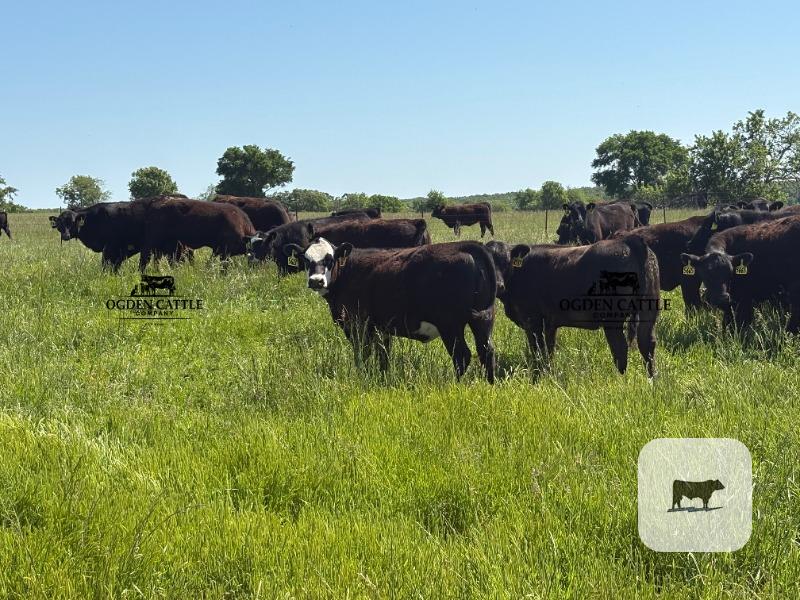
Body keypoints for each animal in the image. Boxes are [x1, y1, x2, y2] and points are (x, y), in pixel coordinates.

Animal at [283, 238, 497, 382]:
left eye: (330, 259)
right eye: (306, 260)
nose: (316, 281)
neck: (348, 272)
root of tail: (465, 245)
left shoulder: (357, 326)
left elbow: (362, 354)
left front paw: (362, 376)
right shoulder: (381, 328)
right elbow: (383, 355)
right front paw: (383, 377)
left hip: (450, 324)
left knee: (462, 355)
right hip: (483, 319)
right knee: (486, 351)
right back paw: (489, 384)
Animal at [486, 235, 660, 377]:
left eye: (506, 262)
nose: (498, 285)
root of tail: (628, 241)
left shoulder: (532, 320)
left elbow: (538, 349)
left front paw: (539, 373)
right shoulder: (550, 322)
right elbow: (549, 349)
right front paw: (549, 371)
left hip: (612, 319)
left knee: (620, 347)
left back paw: (620, 378)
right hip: (648, 310)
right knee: (647, 343)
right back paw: (651, 379)